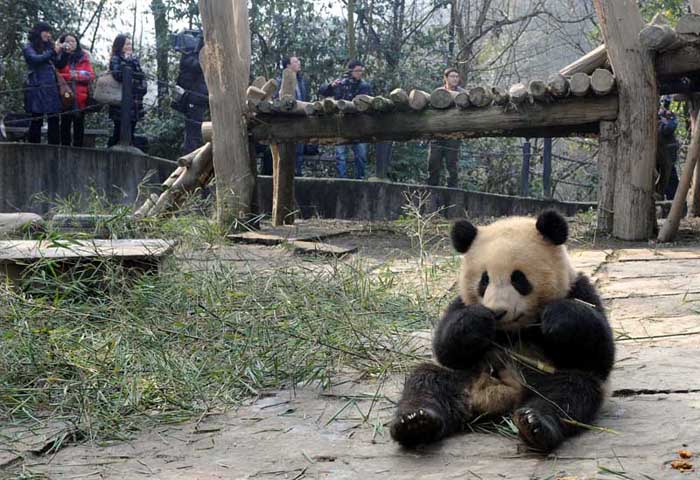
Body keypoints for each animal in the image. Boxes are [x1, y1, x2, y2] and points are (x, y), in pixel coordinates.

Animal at [392, 211, 616, 454]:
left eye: (518, 278)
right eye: (484, 280)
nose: (497, 312)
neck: (513, 329)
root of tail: (495, 399)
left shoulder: (577, 289)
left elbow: (599, 354)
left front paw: (556, 316)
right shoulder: (460, 303)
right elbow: (446, 349)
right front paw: (478, 321)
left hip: (546, 380)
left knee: (567, 391)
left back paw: (535, 425)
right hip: (463, 376)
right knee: (427, 382)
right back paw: (415, 423)